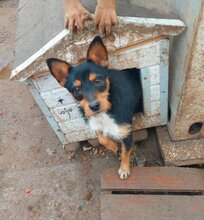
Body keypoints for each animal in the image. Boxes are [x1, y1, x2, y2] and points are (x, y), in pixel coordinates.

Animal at [46, 35, 142, 179]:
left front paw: (124, 169)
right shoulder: (96, 124)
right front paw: (114, 146)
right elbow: (102, 139)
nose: (94, 106)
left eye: (98, 81)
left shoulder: (126, 132)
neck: (105, 112)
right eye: (76, 90)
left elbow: (126, 152)